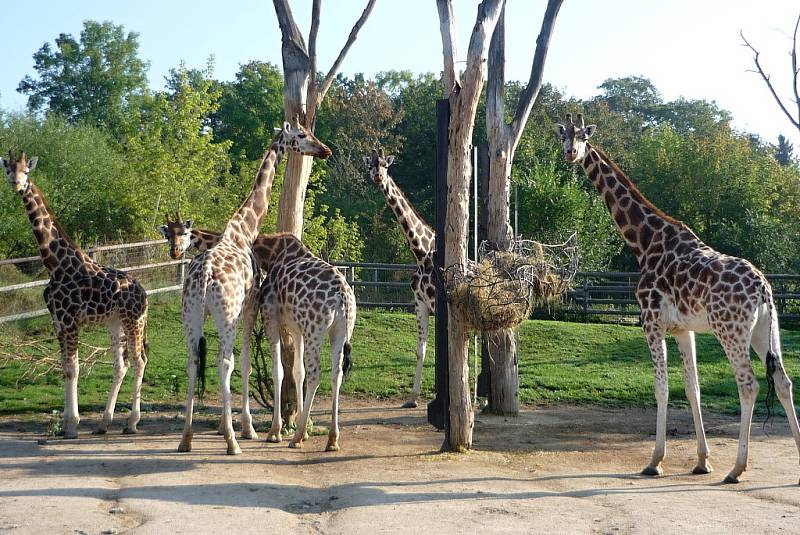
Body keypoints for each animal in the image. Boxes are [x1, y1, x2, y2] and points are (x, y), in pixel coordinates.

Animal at [1, 152, 148, 440]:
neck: (55, 265)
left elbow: (73, 367)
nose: (16, 184)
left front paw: (71, 425)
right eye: (8, 170)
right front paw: (69, 423)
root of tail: (145, 295)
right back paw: (104, 423)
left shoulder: (70, 320)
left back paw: (131, 423)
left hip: (132, 320)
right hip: (114, 323)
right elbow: (66, 368)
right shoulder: (58, 321)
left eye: (26, 171)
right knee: (121, 364)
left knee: (139, 361)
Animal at [158, 216, 354, 450]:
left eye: (184, 233)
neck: (268, 253)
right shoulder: (296, 327)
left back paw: (295, 438)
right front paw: (303, 429)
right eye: (168, 235)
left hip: (315, 331)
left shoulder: (270, 315)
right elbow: (297, 372)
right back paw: (331, 439)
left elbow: (278, 371)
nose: (175, 251)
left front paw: (275, 432)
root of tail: (343, 297)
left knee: (316, 373)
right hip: (338, 332)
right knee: (336, 373)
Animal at [178, 122, 332, 456]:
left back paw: (186, 439)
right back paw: (232, 442)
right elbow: (247, 363)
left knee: (193, 362)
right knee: (225, 362)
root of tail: (204, 276)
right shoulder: (249, 308)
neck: (244, 229)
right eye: (301, 135)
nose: (324, 150)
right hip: (226, 314)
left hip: (191, 314)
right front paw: (246, 429)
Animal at [364, 149, 434, 408]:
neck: (422, 253)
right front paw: (412, 398)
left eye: (385, 164)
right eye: (371, 165)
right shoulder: (420, 303)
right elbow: (421, 349)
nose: (378, 176)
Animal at [556, 114, 800, 486]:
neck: (644, 242)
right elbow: (692, 388)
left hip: (730, 331)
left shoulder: (651, 321)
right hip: (764, 331)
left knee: (749, 385)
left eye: (584, 136)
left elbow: (661, 388)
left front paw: (655, 461)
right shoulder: (685, 330)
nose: (571, 153)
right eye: (563, 136)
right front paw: (701, 460)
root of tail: (763, 288)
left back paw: (737, 469)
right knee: (783, 382)